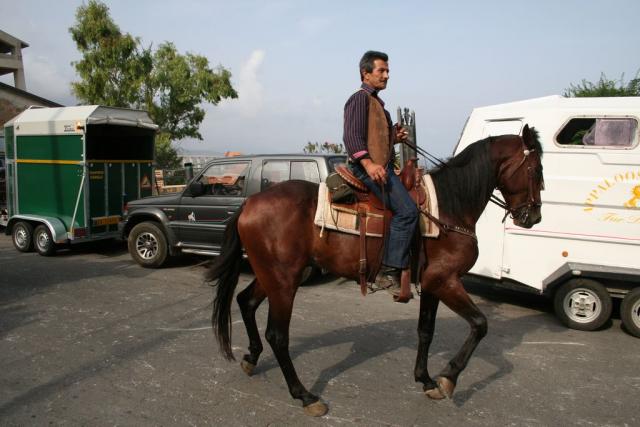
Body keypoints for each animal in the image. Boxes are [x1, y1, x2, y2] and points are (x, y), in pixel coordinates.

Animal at [206, 124, 544, 417]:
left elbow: (426, 331)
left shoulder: (432, 283)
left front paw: (426, 380)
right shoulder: (445, 280)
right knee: (277, 335)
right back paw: (305, 395)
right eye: (536, 170)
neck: (449, 207)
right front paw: (448, 378)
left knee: (246, 302)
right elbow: (480, 324)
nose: (534, 217)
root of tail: (249, 202)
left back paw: (251, 357)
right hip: (284, 281)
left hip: (274, 275)